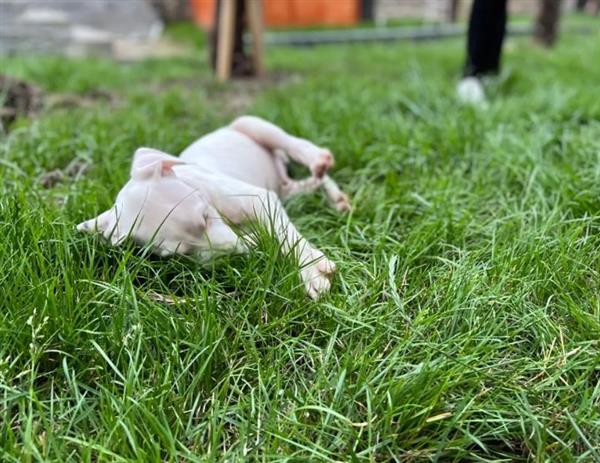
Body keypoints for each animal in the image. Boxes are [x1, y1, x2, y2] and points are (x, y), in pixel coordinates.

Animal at [79, 114, 352, 300]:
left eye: (204, 216)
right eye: (182, 253)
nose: (237, 253)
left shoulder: (260, 198)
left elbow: (286, 235)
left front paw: (311, 271)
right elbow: (256, 236)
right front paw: (255, 243)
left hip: (250, 125)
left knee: (293, 146)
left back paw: (320, 164)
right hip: (286, 190)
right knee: (310, 183)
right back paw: (333, 195)